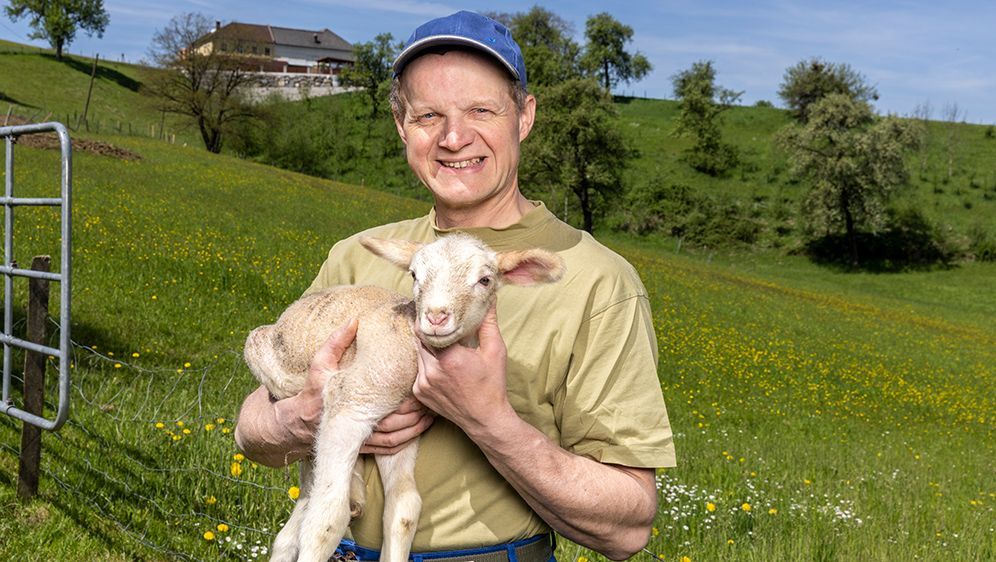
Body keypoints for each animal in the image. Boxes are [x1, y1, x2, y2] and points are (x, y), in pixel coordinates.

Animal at [244, 232, 564, 560]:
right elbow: (326, 520)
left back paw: (354, 490)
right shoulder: (354, 398)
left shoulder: (400, 426)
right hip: (267, 356)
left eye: (485, 280)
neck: (410, 338)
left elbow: (404, 508)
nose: (436, 316)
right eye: (414, 275)